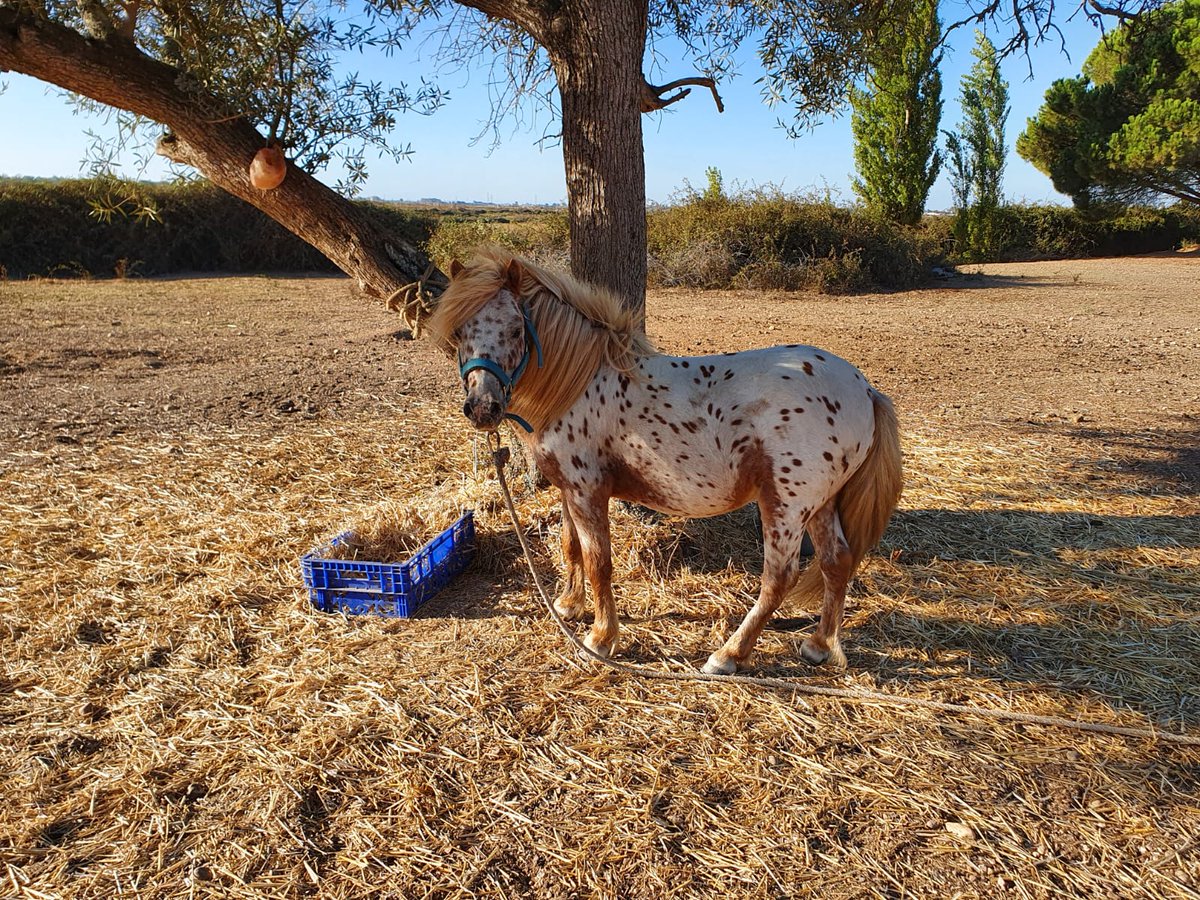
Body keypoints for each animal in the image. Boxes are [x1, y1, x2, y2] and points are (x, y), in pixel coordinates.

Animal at [427, 247, 903, 674]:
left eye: (515, 329)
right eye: (460, 332)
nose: (483, 408)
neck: (581, 382)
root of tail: (865, 391)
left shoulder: (586, 491)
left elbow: (599, 563)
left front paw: (601, 638)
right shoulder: (568, 489)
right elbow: (570, 547)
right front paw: (569, 605)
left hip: (786, 506)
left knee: (779, 577)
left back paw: (728, 655)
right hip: (821, 506)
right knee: (836, 562)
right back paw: (818, 646)